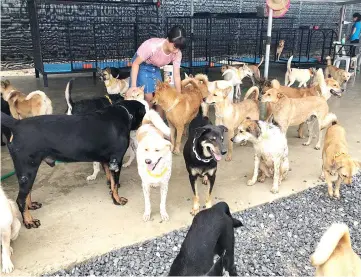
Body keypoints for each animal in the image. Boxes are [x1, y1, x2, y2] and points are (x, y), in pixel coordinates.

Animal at [1, 99, 145, 229]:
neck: (123, 113)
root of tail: (17, 124)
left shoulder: (107, 160)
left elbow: (110, 178)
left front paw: (110, 187)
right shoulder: (116, 159)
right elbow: (115, 184)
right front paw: (117, 199)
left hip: (27, 172)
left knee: (26, 193)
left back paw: (31, 206)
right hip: (28, 170)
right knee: (20, 199)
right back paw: (29, 221)